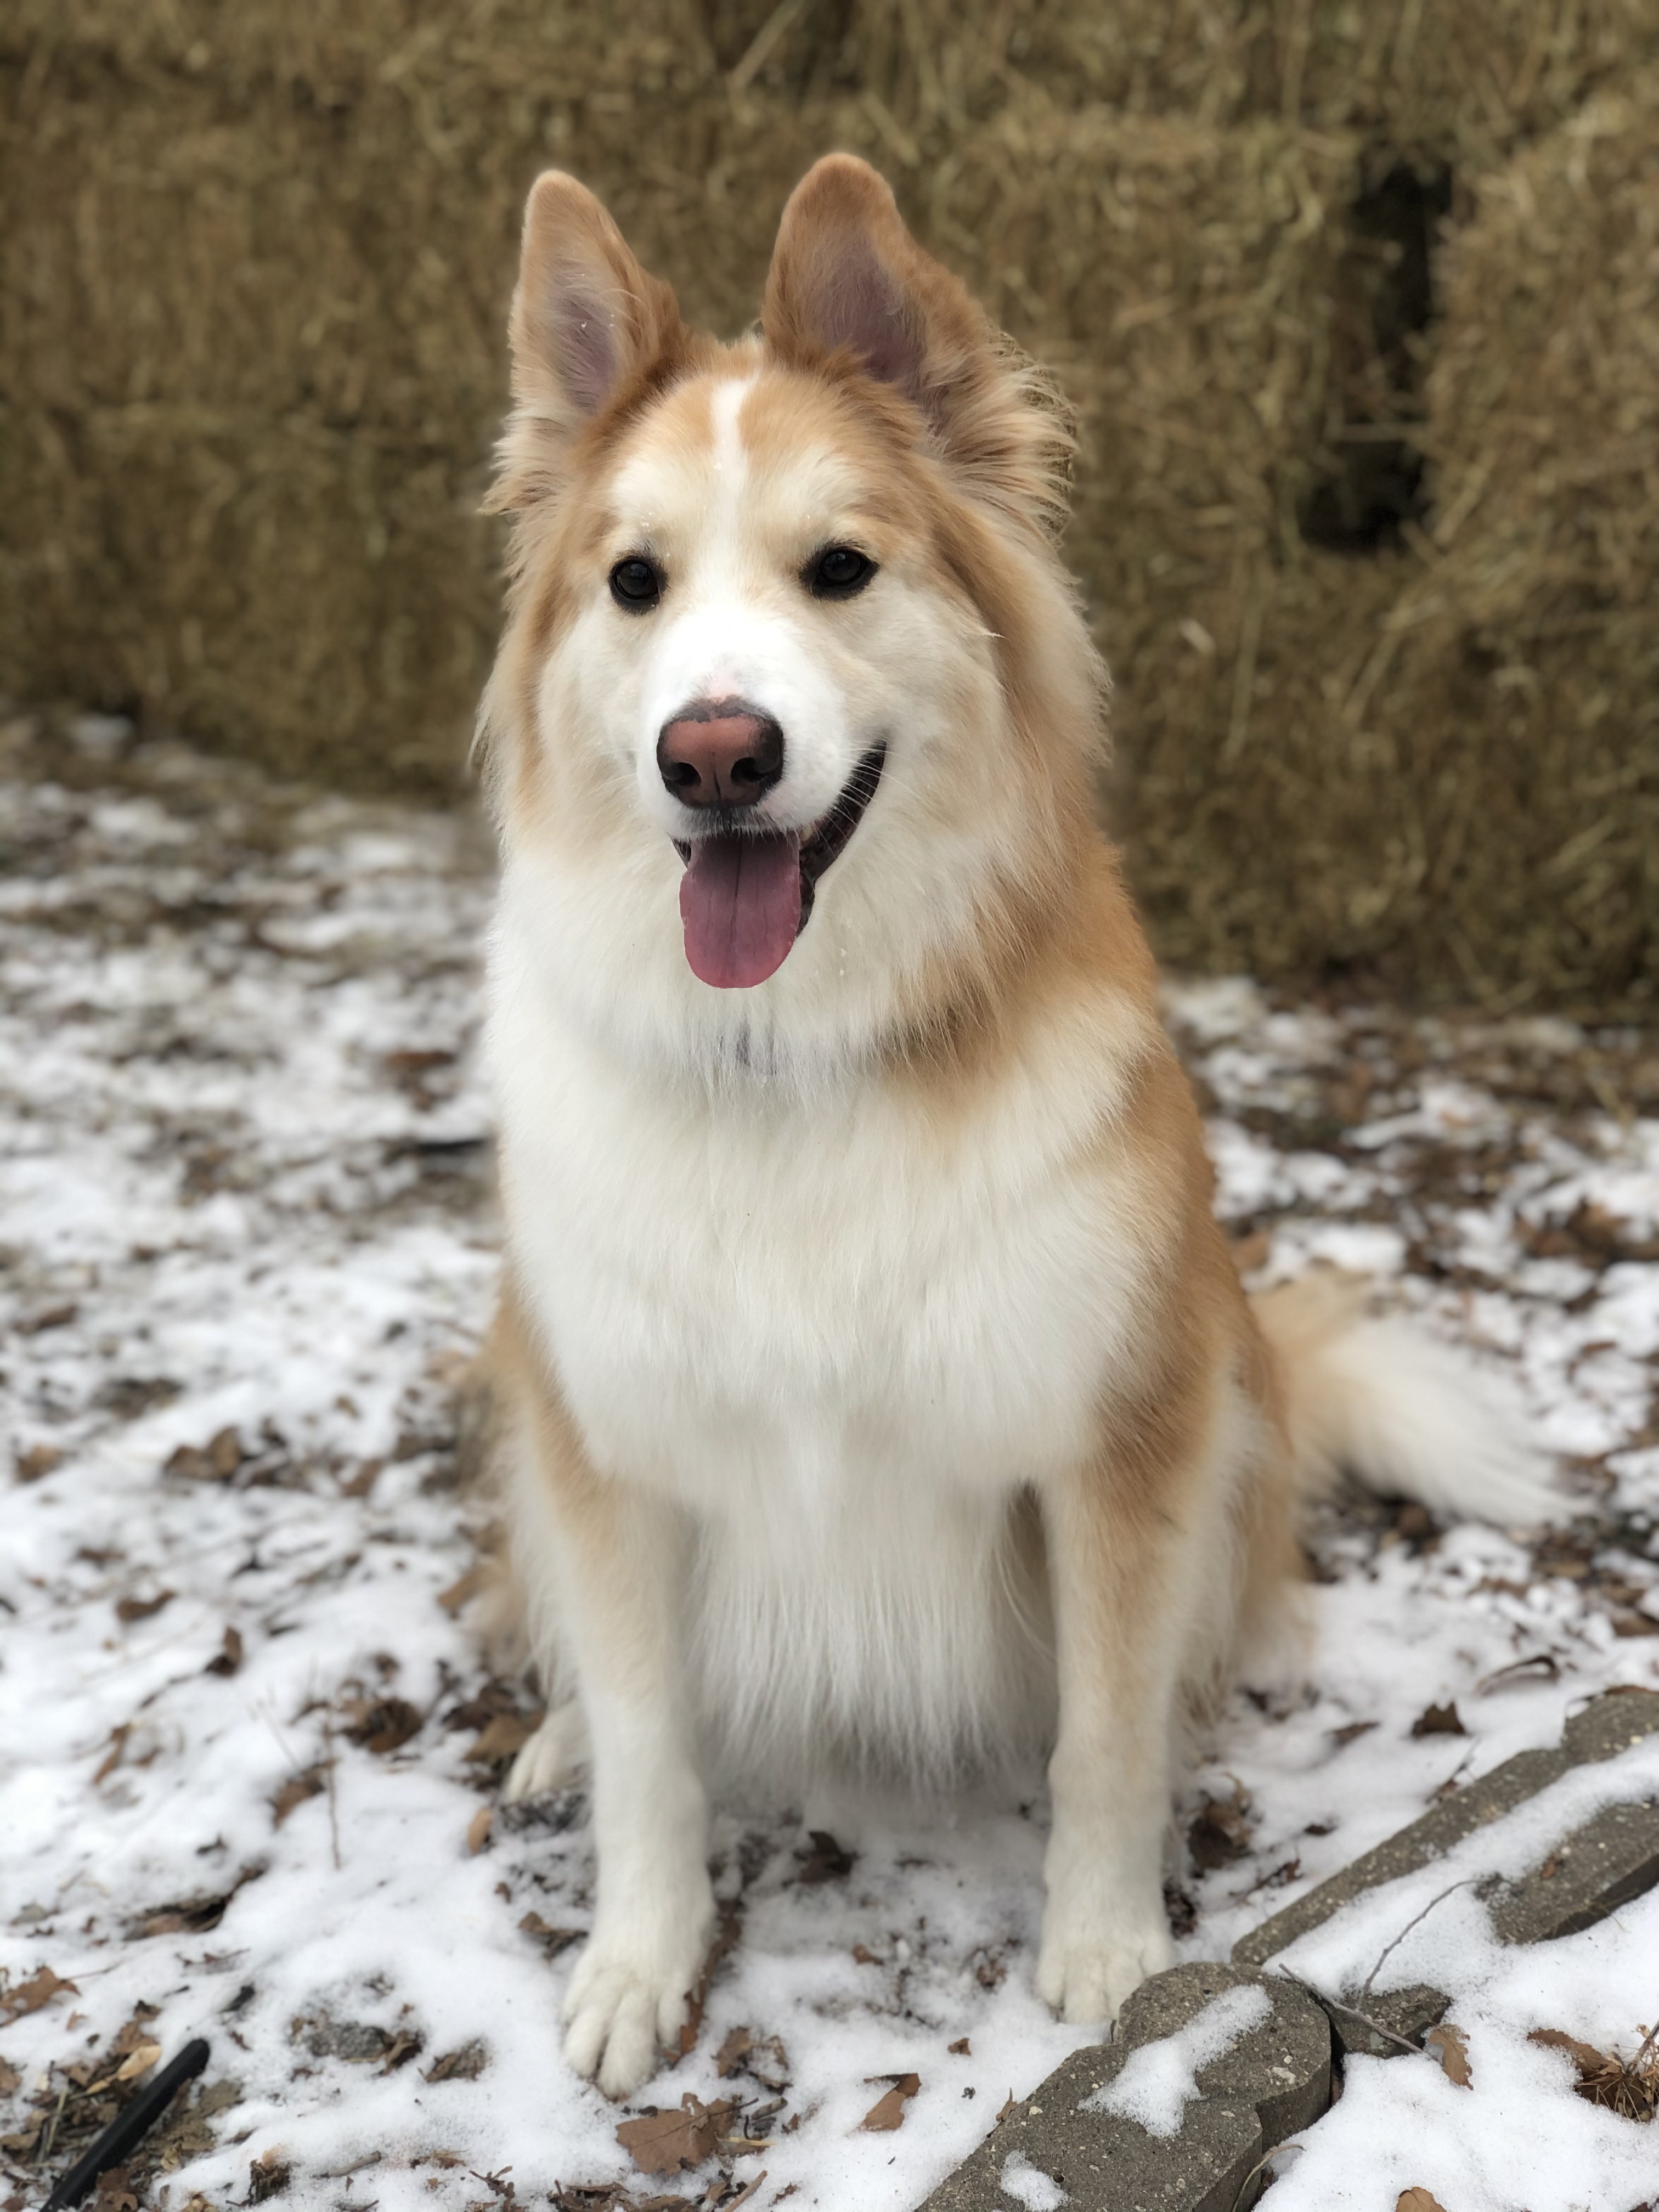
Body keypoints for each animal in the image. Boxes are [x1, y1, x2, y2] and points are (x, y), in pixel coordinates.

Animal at [474, 153, 1551, 2100]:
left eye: (841, 569)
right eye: (633, 585)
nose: (715, 755)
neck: (797, 1057)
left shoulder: (1113, 1436)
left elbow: (1104, 1736)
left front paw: (1114, 1961)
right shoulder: (612, 1443)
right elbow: (658, 1738)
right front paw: (640, 1956)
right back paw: (555, 1741)